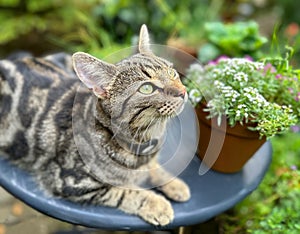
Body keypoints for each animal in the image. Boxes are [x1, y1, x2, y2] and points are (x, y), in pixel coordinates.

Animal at [0, 24, 190, 226]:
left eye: (171, 72)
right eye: (147, 88)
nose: (183, 91)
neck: (142, 138)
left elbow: (154, 168)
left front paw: (174, 183)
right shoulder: (71, 183)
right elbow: (125, 191)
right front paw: (156, 204)